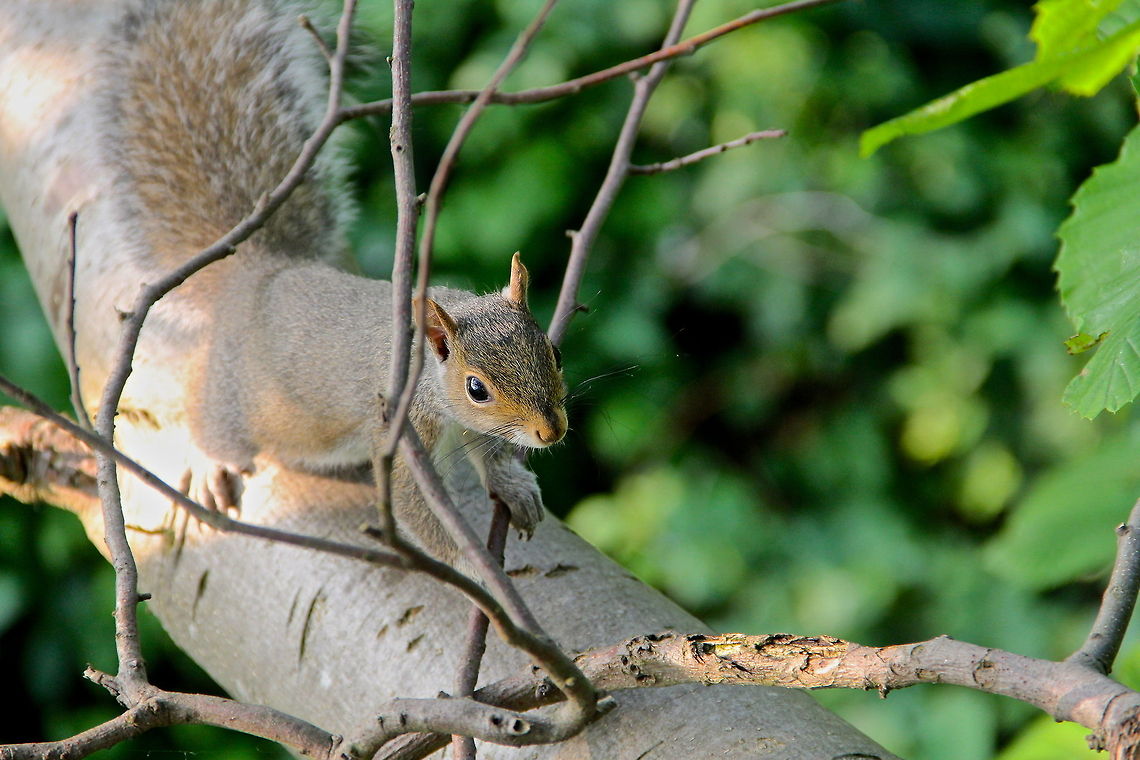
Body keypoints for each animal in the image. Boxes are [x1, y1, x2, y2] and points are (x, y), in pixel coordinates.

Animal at [97, 0, 568, 559]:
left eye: (554, 352)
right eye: (476, 388)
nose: (551, 432)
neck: (429, 378)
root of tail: (259, 273)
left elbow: (494, 452)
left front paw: (513, 486)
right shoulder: (398, 432)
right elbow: (414, 508)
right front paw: (477, 574)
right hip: (230, 396)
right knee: (209, 420)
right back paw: (212, 463)